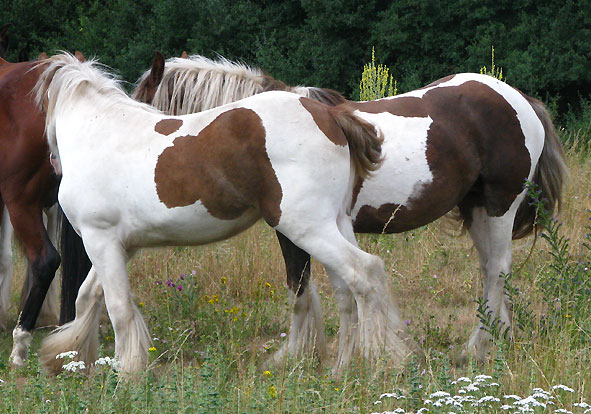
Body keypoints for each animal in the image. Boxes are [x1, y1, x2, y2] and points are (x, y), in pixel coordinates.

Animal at [134, 51, 568, 366]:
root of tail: (519, 99)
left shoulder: (293, 230)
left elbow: (300, 289)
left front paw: (290, 358)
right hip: (475, 209)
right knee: (491, 270)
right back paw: (497, 340)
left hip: (499, 206)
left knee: (498, 270)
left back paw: (474, 348)